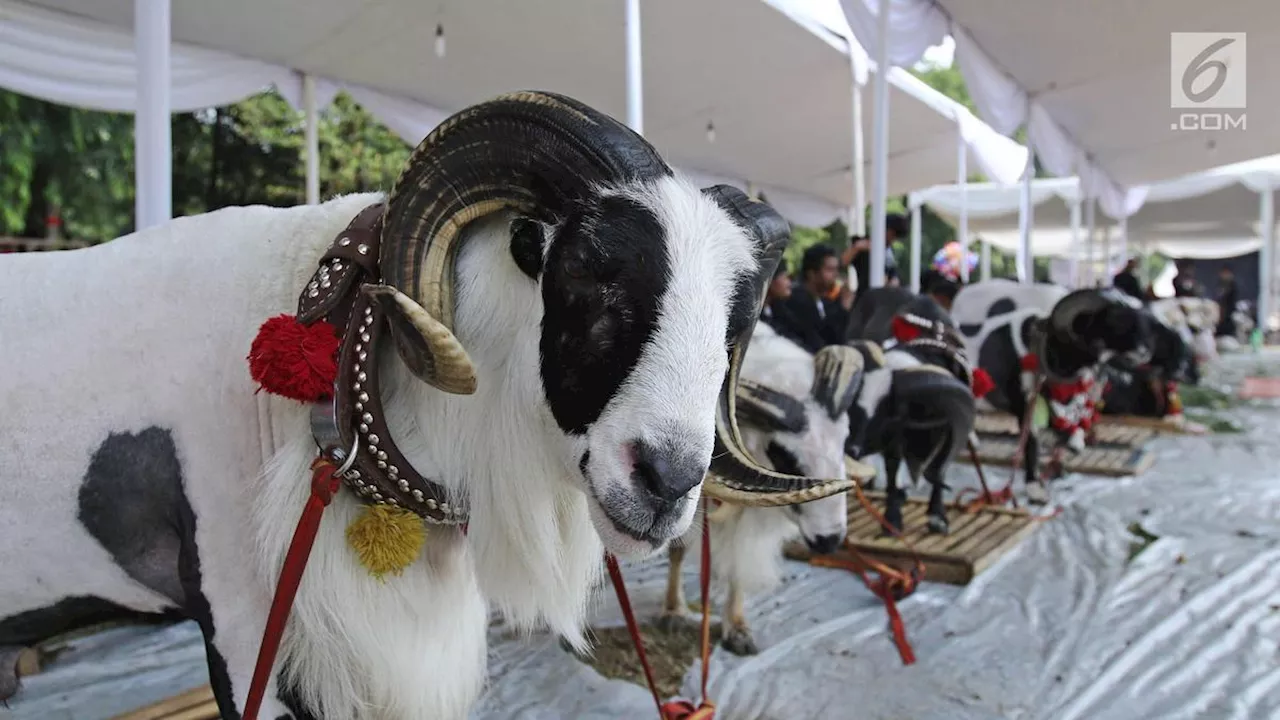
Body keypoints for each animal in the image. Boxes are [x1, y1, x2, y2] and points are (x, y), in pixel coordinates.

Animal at [660, 322, 860, 653]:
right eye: (781, 453)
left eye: (844, 439)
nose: (829, 540)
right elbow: (677, 550)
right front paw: (674, 612)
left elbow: (739, 564)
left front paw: (738, 629)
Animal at [844, 285, 972, 532]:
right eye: (856, 402)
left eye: (894, 414)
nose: (850, 448)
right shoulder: (894, 440)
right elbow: (892, 467)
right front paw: (892, 519)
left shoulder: (949, 427)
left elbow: (940, 468)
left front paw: (937, 516)